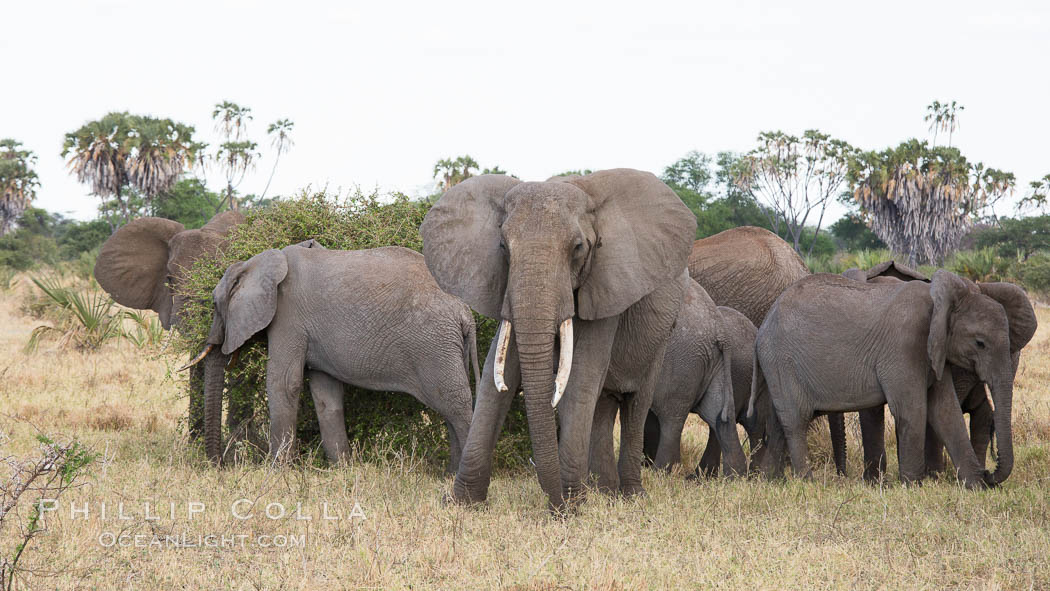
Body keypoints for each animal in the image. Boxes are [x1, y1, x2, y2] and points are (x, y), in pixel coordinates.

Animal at [190, 242, 480, 474]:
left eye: (215, 305)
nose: (220, 465)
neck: (258, 262)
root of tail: (465, 312)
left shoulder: (288, 317)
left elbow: (284, 383)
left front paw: (275, 472)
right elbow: (326, 395)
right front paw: (342, 468)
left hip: (435, 345)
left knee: (454, 403)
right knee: (449, 408)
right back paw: (450, 474)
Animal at [417, 169, 697, 510]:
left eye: (578, 247)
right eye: (502, 247)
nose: (559, 504)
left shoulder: (604, 286)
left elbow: (579, 377)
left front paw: (571, 508)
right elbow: (495, 376)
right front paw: (461, 504)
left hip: (664, 333)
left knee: (636, 402)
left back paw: (630, 497)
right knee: (602, 406)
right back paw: (603, 492)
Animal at [755, 270, 1016, 487]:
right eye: (980, 343)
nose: (989, 473)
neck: (942, 303)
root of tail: (764, 323)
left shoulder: (935, 352)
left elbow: (946, 411)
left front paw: (976, 486)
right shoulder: (905, 346)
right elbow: (913, 411)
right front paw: (913, 486)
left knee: (778, 422)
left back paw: (771, 481)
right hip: (782, 361)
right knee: (795, 421)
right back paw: (808, 482)